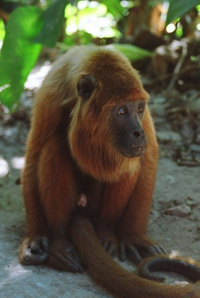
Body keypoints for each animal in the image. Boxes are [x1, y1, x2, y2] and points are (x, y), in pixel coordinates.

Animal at [19, 47, 200, 298]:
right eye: (121, 110)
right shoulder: (50, 97)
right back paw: (60, 242)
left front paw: (133, 237)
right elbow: (33, 157)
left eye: (139, 109)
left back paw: (106, 233)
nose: (138, 133)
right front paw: (36, 237)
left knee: (131, 162)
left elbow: (149, 159)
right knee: (53, 147)